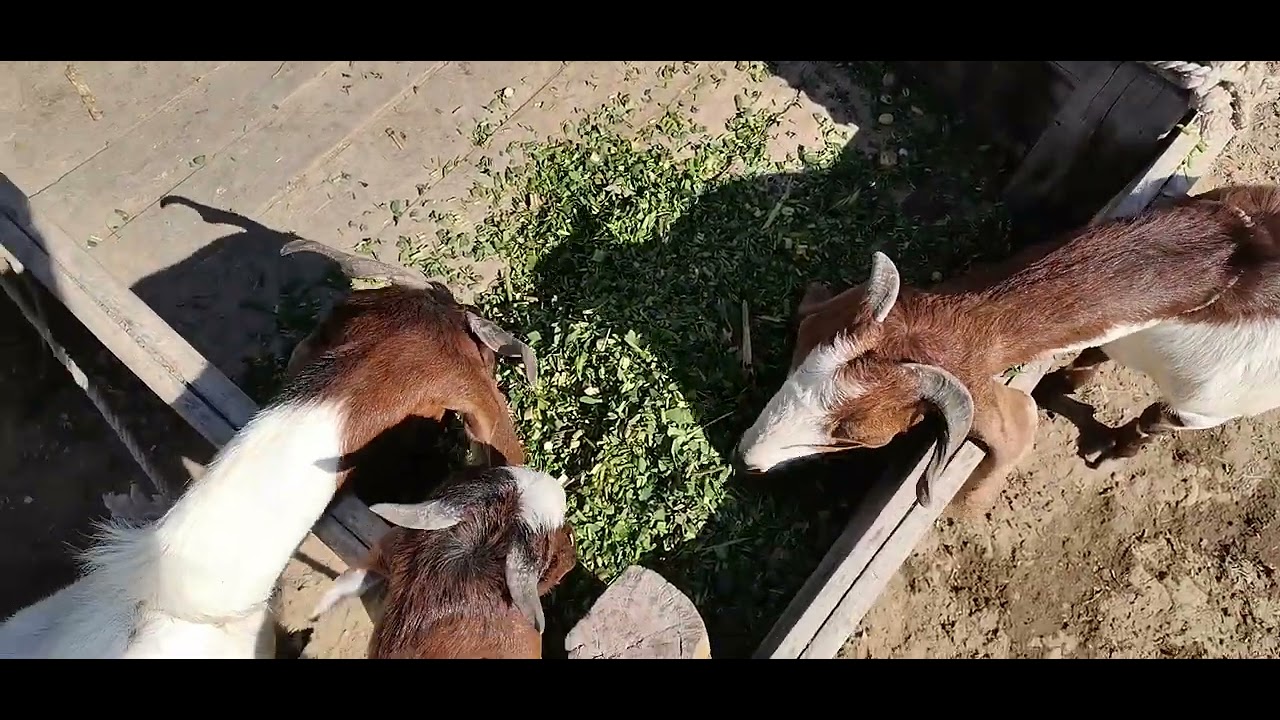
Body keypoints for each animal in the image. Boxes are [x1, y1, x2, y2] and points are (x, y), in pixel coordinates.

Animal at [734, 184, 1280, 517]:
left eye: (852, 438)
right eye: (798, 361)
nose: (746, 458)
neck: (1233, 254)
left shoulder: (1206, 405)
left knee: (1151, 419)